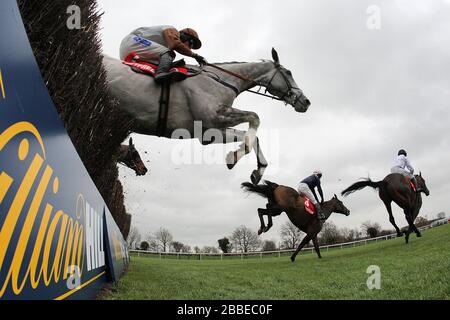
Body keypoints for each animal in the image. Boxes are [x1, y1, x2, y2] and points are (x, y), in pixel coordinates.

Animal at [103, 47, 312, 182]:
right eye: (288, 72)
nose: (306, 102)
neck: (221, 80)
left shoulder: (208, 132)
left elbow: (252, 137)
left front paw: (257, 171)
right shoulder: (213, 116)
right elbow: (254, 117)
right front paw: (236, 156)